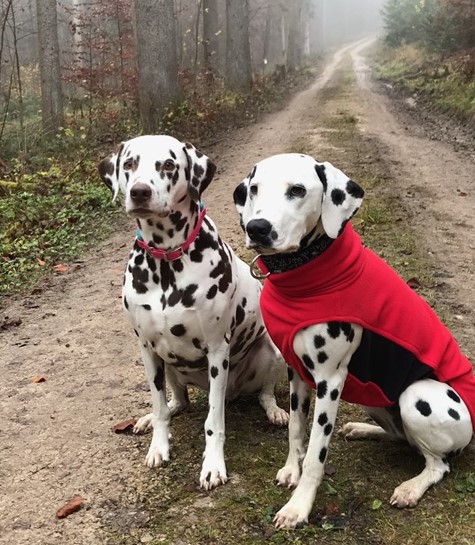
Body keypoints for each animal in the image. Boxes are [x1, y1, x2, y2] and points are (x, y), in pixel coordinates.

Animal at [98, 134, 288, 486]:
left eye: (168, 165)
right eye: (129, 163)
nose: (139, 192)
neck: (166, 260)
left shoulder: (216, 351)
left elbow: (213, 421)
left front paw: (213, 465)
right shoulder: (147, 349)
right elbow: (160, 406)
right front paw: (158, 446)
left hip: (271, 352)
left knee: (264, 393)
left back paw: (275, 411)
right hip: (170, 367)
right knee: (179, 402)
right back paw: (150, 417)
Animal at [234, 153, 475, 528]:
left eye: (297, 189)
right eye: (255, 188)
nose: (257, 228)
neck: (306, 273)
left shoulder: (329, 381)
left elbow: (316, 452)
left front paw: (298, 506)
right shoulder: (297, 372)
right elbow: (296, 429)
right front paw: (291, 469)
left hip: (417, 394)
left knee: (439, 464)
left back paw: (411, 487)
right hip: (373, 396)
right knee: (401, 436)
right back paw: (363, 429)